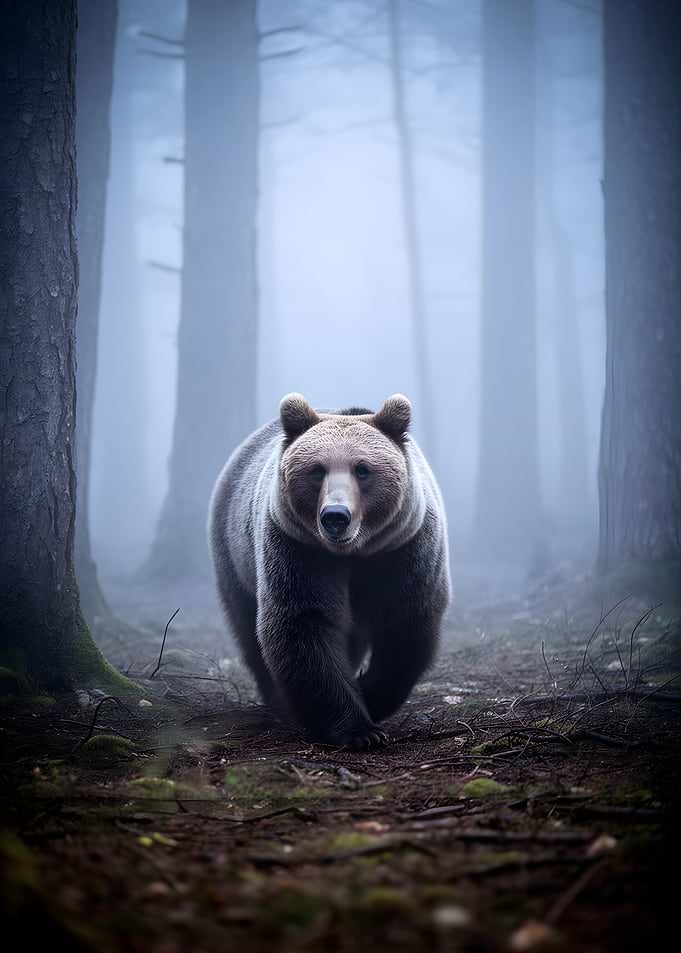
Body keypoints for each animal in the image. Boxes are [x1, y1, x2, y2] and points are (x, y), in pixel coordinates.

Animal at [208, 393, 451, 749]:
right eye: (317, 470)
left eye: (362, 469)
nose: (336, 516)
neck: (353, 552)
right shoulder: (299, 548)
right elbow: (304, 623)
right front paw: (358, 730)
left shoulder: (404, 548)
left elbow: (404, 623)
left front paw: (370, 696)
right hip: (234, 555)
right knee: (247, 628)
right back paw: (278, 702)